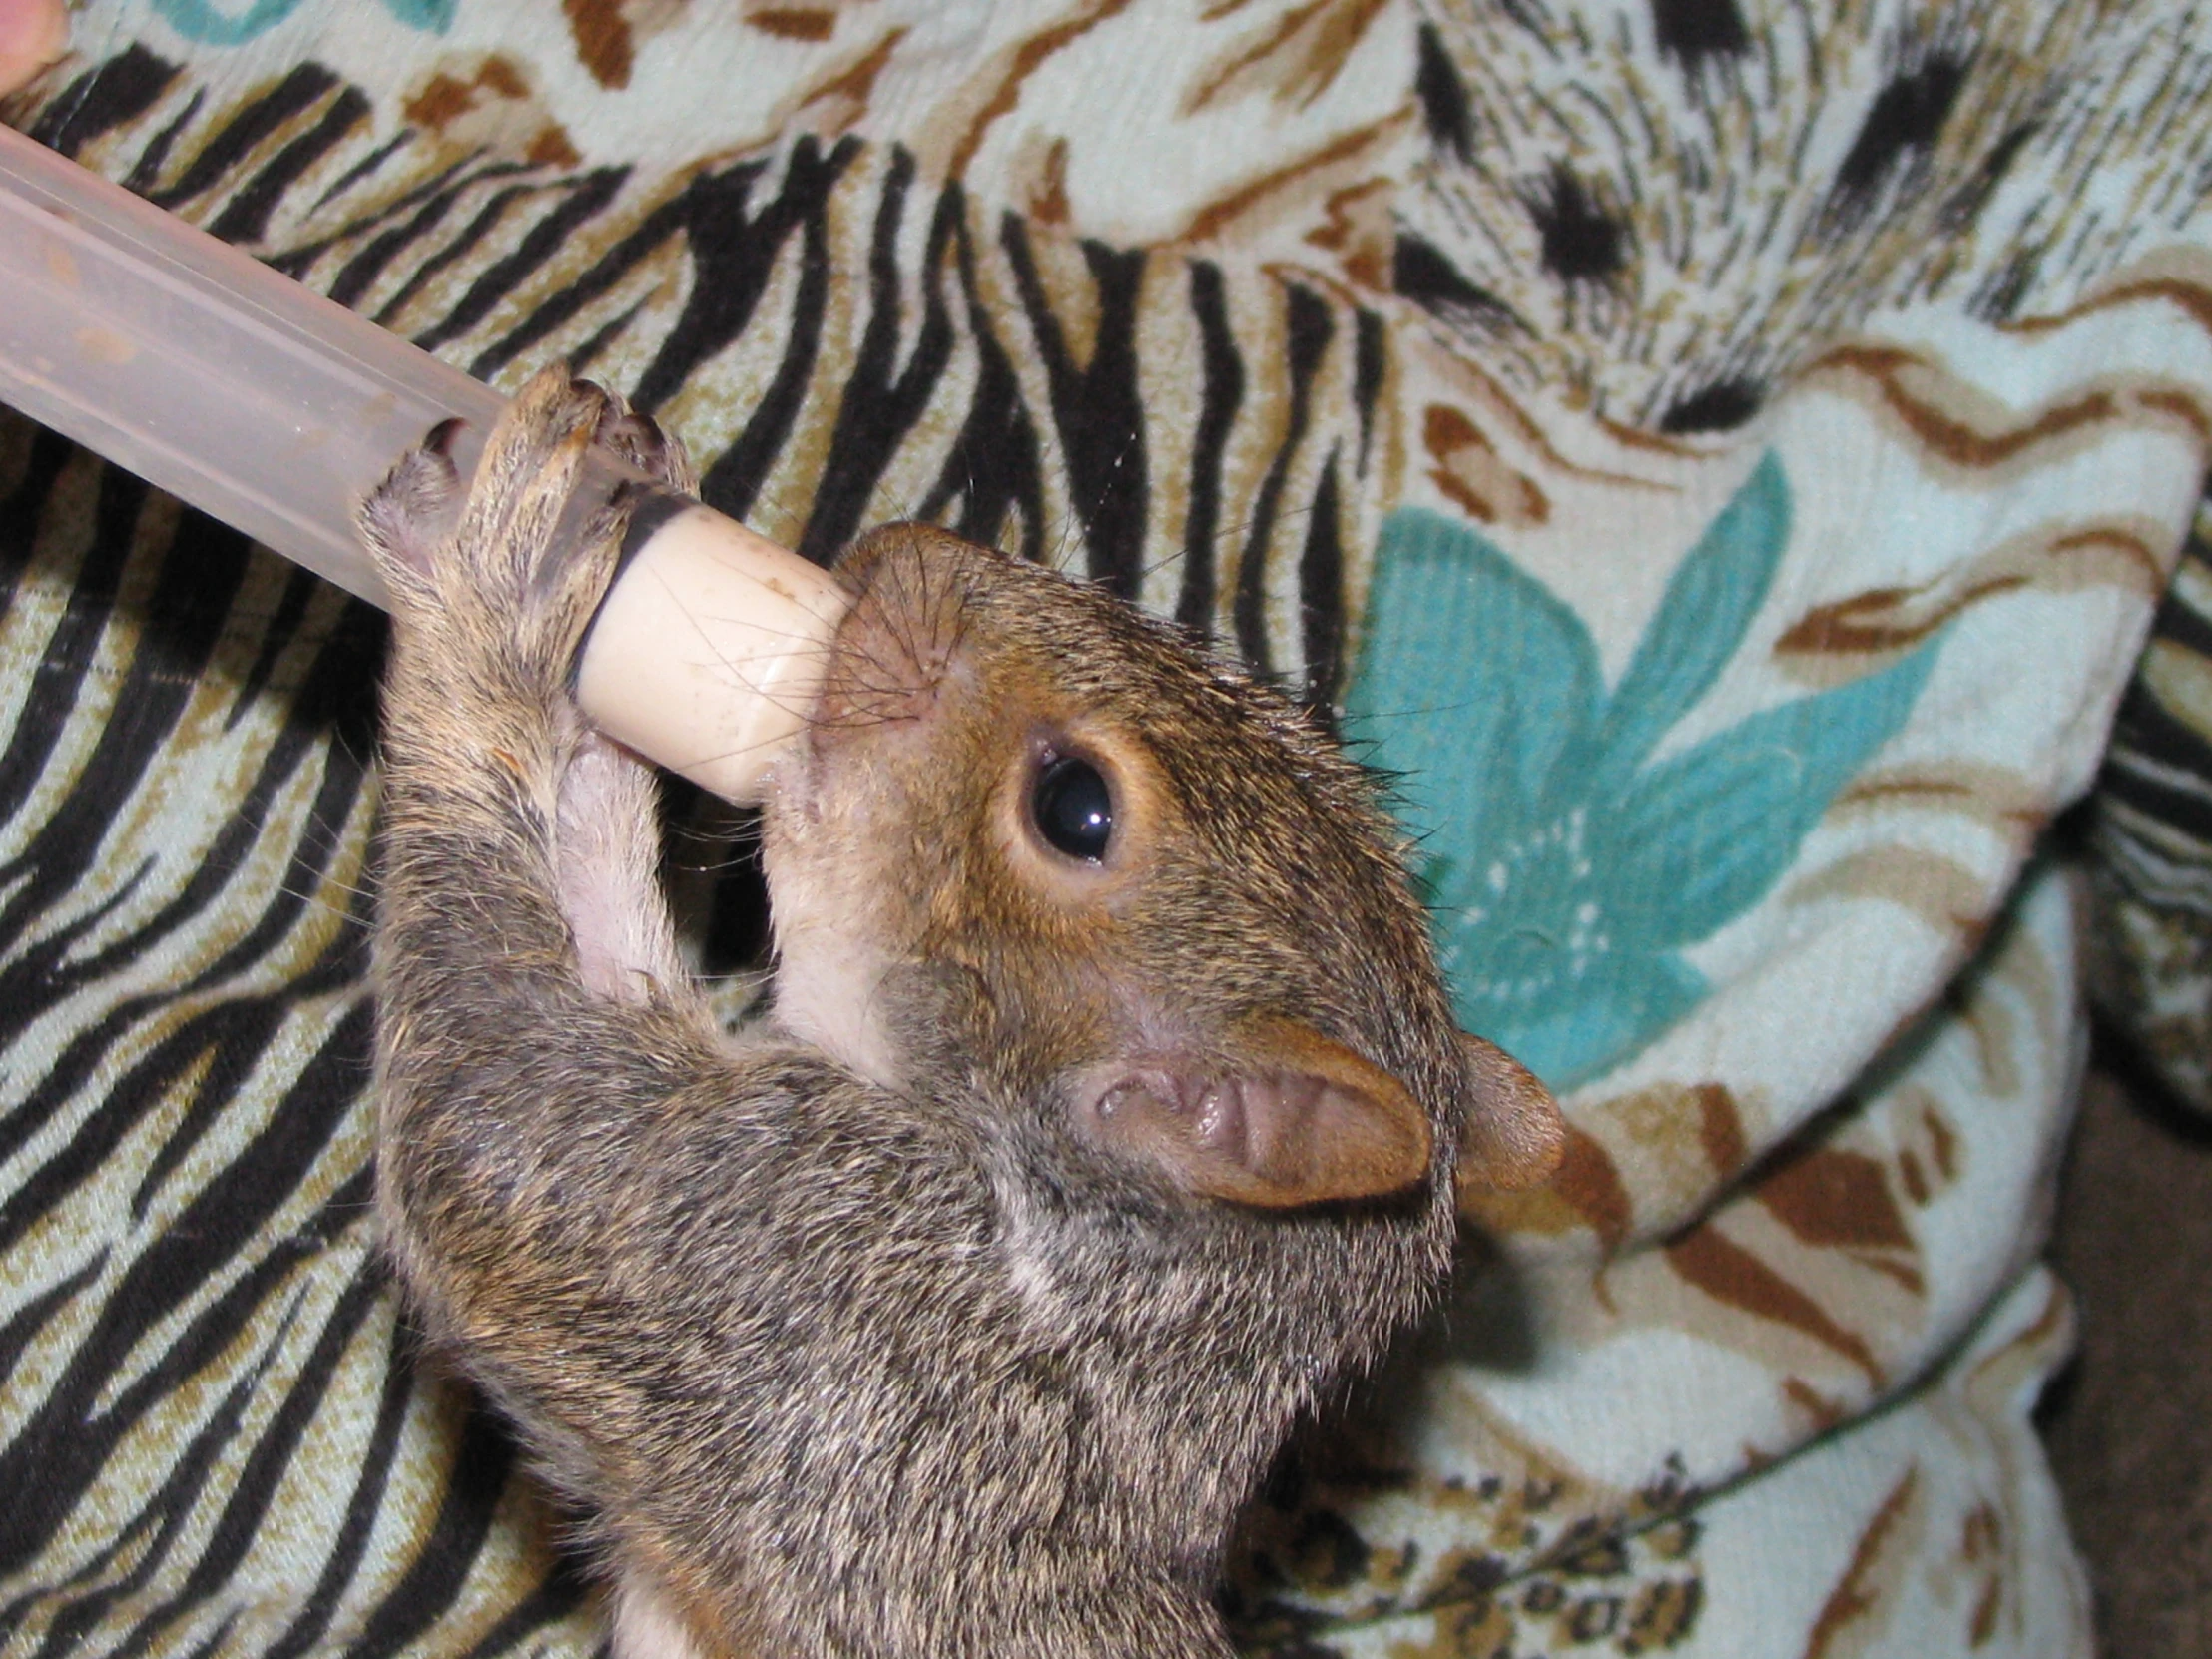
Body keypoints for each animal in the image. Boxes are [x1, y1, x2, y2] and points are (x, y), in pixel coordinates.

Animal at [362, 373, 1565, 1659]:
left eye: (1075, 807)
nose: (901, 547)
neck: (1085, 1264)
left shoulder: (798, 1280)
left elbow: (501, 1108)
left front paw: (507, 600)